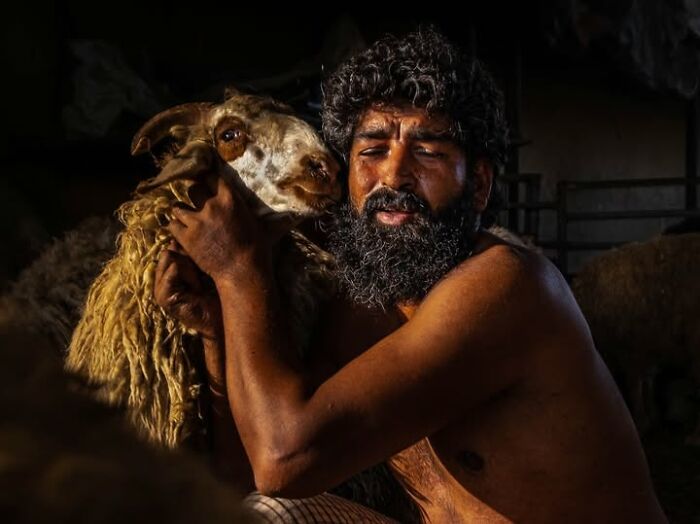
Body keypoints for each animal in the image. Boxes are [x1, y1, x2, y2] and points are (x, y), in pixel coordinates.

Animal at [570, 233, 700, 443]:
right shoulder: (643, 346)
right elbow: (647, 383)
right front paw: (652, 420)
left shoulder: (630, 347)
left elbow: (635, 386)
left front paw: (641, 423)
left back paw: (695, 436)